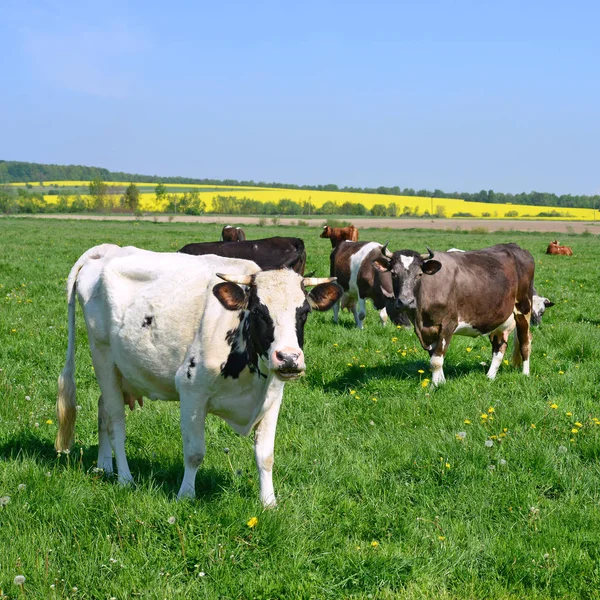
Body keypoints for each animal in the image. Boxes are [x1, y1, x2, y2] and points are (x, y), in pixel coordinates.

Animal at [56, 244, 342, 506]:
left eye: (304, 313)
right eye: (259, 312)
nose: (289, 358)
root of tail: (108, 249)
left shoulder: (272, 398)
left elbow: (265, 456)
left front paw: (269, 503)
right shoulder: (191, 392)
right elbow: (194, 453)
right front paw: (186, 496)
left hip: (119, 371)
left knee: (103, 407)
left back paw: (105, 466)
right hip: (102, 356)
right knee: (116, 422)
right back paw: (125, 478)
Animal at [376, 243, 536, 384]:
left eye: (419, 274)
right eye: (393, 273)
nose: (405, 301)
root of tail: (515, 246)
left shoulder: (448, 324)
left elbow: (436, 360)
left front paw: (435, 386)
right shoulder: (426, 330)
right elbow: (434, 356)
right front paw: (441, 382)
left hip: (524, 307)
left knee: (525, 340)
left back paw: (525, 374)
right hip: (498, 317)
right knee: (499, 347)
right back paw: (489, 377)